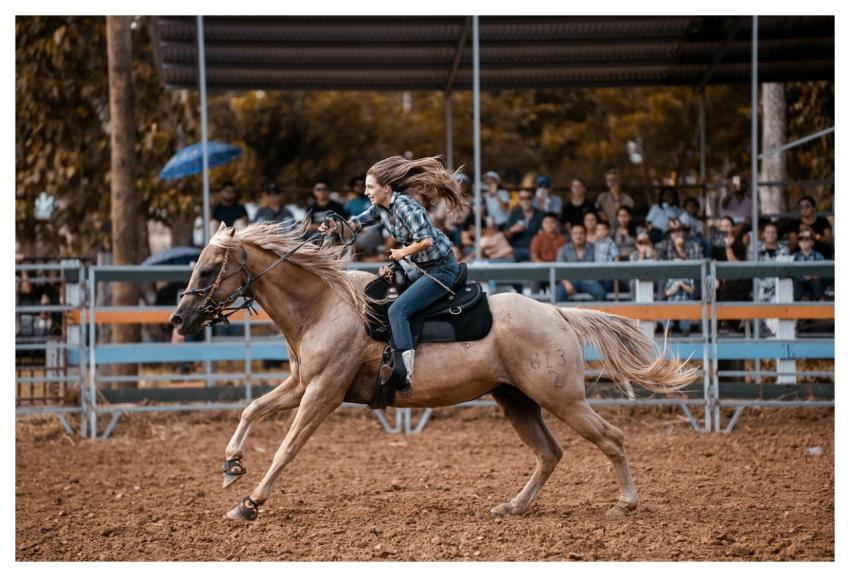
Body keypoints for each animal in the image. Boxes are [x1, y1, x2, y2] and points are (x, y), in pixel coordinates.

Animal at [170, 221, 699, 522]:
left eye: (209, 268)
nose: (179, 319)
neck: (325, 305)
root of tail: (556, 313)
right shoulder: (302, 383)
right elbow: (251, 410)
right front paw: (231, 467)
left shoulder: (323, 391)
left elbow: (285, 448)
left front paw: (249, 504)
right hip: (516, 400)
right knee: (549, 453)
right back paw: (512, 507)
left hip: (561, 398)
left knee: (611, 437)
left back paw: (625, 504)